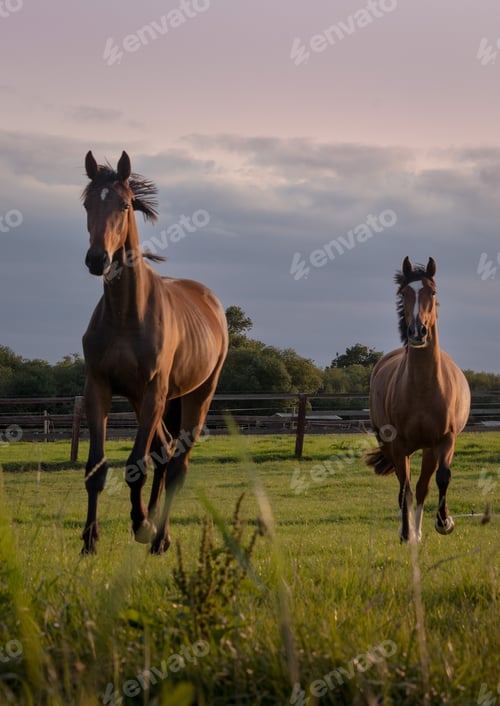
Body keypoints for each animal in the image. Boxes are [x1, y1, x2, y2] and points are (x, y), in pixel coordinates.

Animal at [81, 150, 228, 555]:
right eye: (86, 204)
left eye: (125, 204)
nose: (97, 259)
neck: (125, 313)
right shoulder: (99, 387)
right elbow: (96, 467)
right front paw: (90, 540)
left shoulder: (153, 390)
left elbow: (136, 466)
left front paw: (142, 524)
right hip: (142, 399)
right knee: (164, 451)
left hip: (196, 395)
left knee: (177, 464)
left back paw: (160, 537)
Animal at [366, 257, 471, 542]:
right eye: (404, 293)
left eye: (432, 292)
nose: (417, 332)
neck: (423, 388)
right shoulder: (399, 445)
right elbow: (406, 489)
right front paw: (405, 533)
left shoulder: (444, 440)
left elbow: (441, 478)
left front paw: (444, 523)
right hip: (394, 446)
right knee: (407, 487)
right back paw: (409, 530)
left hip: (428, 449)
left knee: (424, 485)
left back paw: (420, 530)